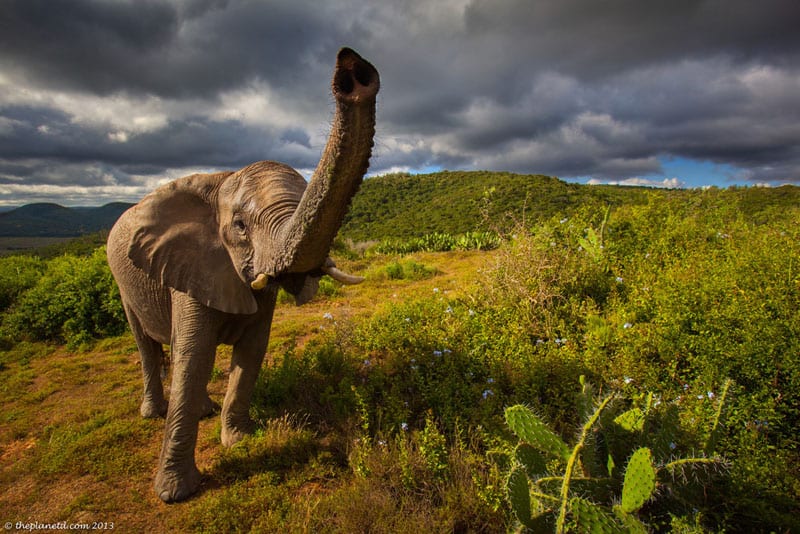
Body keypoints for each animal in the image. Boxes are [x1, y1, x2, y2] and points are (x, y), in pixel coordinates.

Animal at [105, 48, 378, 504]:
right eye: (239, 227)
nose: (354, 73)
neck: (220, 184)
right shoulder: (191, 268)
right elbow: (193, 356)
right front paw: (174, 493)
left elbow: (250, 352)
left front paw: (239, 441)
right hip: (123, 284)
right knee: (147, 345)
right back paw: (152, 412)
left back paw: (204, 411)